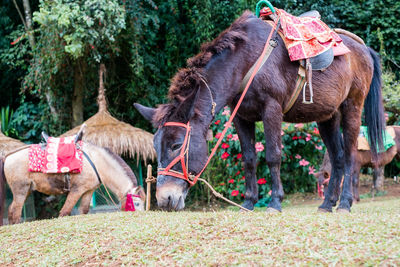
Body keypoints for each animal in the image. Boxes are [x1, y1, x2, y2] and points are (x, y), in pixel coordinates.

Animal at [0, 142, 146, 226]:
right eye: (137, 203)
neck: (96, 162)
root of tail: (8, 156)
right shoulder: (76, 190)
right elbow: (65, 212)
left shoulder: (88, 191)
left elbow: (83, 211)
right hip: (20, 190)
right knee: (15, 212)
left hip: (27, 190)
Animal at [134, 11, 384, 214]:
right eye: (155, 145)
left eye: (177, 145)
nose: (164, 199)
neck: (245, 61)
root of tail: (363, 49)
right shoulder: (241, 117)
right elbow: (249, 159)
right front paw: (248, 202)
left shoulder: (271, 109)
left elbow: (273, 155)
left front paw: (275, 202)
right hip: (327, 116)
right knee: (338, 156)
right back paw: (327, 203)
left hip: (352, 107)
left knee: (350, 155)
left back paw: (345, 203)